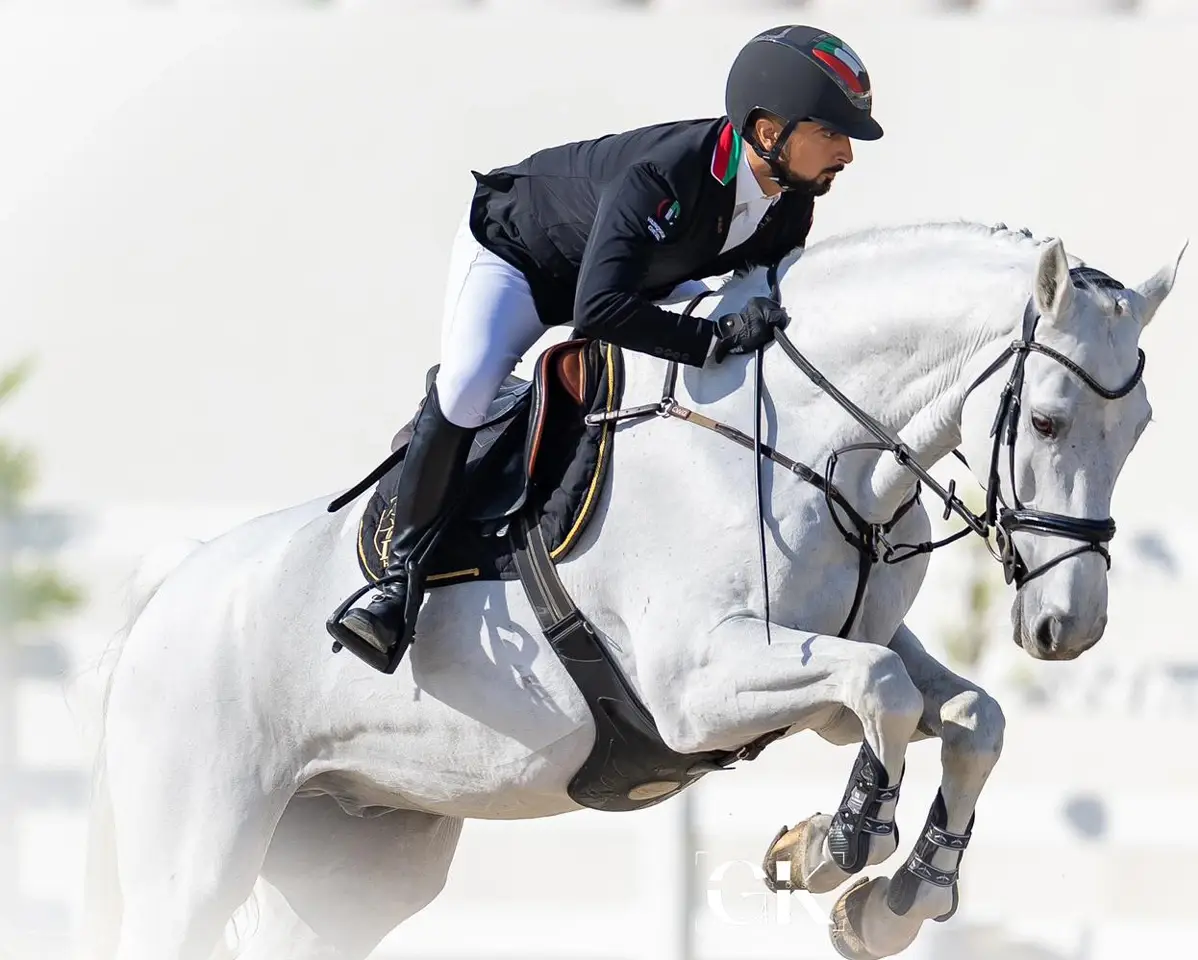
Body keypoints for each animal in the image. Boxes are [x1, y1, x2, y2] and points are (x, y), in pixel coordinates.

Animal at [82, 220, 1178, 958]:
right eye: (1045, 420)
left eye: (1138, 429)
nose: (1068, 626)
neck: (813, 447)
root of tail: (178, 579)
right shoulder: (697, 687)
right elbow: (887, 693)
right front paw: (836, 845)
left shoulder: (818, 666)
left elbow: (962, 712)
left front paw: (894, 898)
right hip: (197, 853)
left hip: (355, 860)